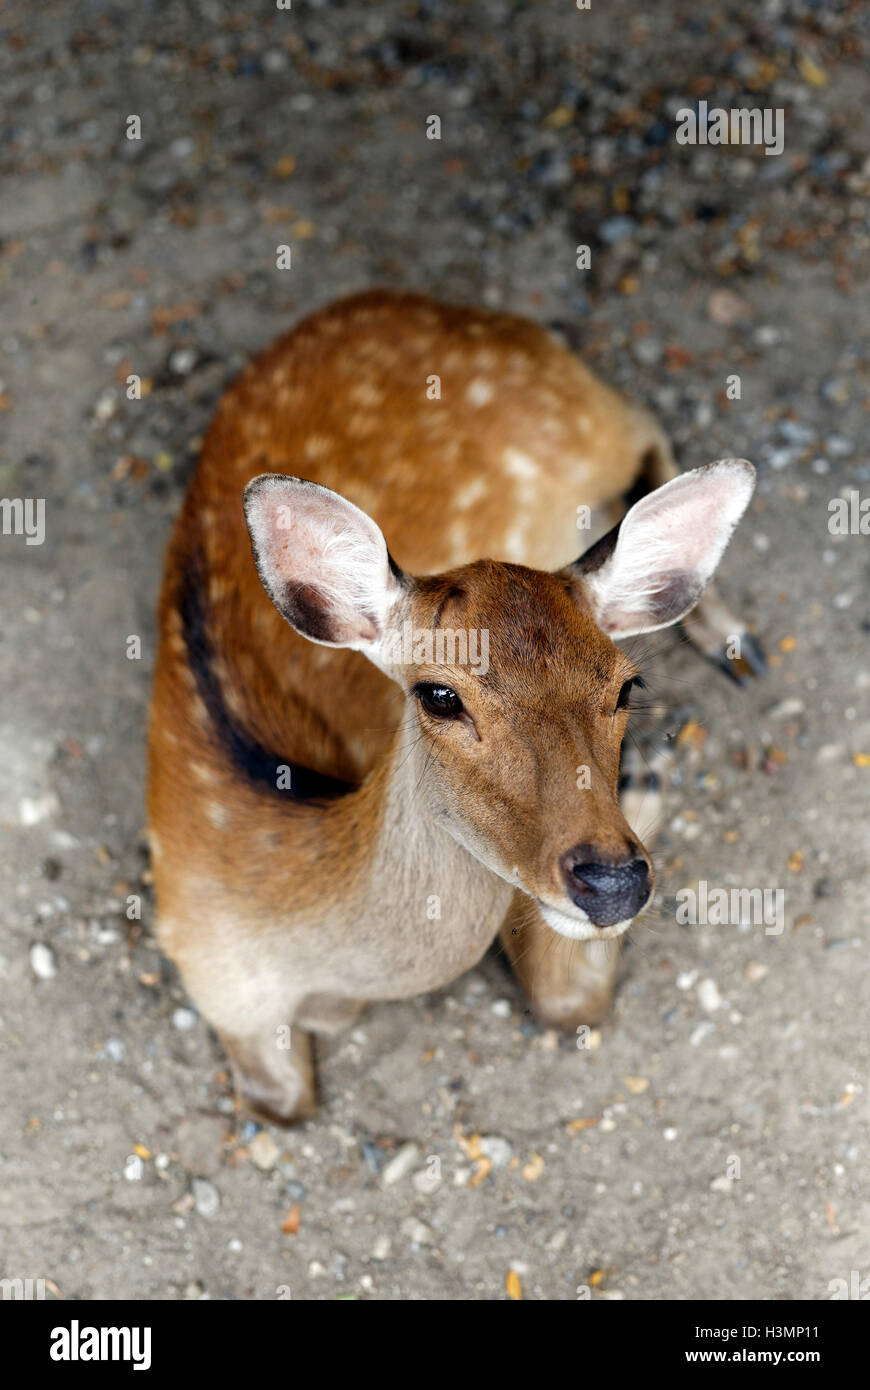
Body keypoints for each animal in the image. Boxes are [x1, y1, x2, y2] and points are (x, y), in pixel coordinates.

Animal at [148, 287, 756, 1123]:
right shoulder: (214, 979)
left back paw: (733, 640)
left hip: (586, 427)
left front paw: (650, 781)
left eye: (626, 686)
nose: (613, 881)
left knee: (647, 429)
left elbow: (569, 1004)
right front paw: (649, 782)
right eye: (440, 695)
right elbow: (287, 1101)